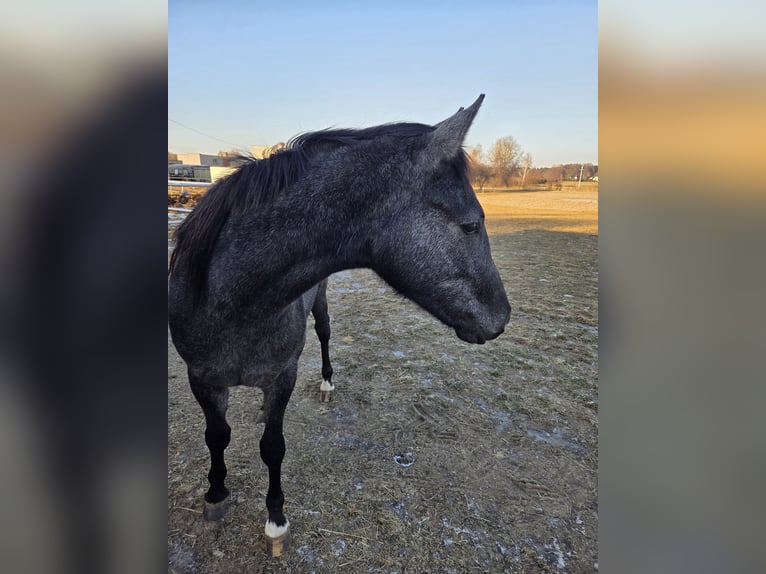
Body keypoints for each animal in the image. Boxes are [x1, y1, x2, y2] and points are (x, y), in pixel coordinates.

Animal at [167, 94, 511, 556]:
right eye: (471, 224)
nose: (502, 317)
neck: (231, 302)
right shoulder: (202, 379)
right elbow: (216, 437)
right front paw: (216, 493)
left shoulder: (284, 376)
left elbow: (272, 447)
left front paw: (276, 520)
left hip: (321, 305)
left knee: (325, 335)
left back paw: (327, 384)